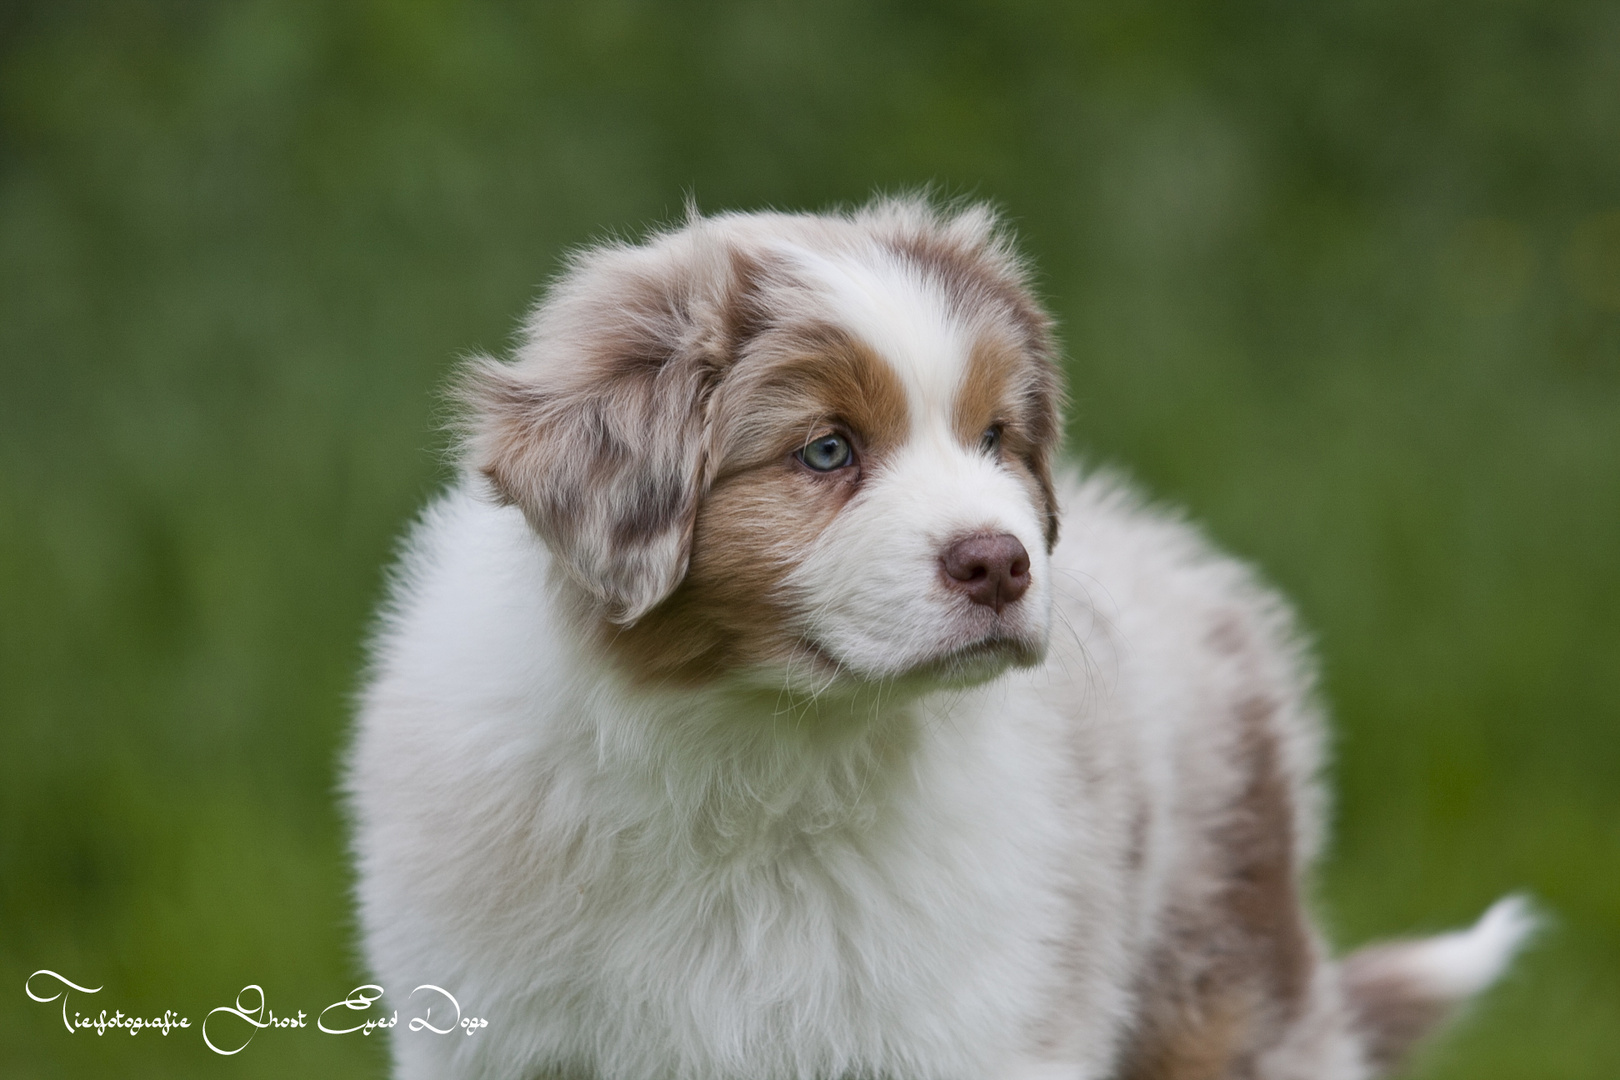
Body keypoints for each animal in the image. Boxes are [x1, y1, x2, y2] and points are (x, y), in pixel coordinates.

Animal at [351, 198, 1529, 1075]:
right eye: (827, 450)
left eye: (996, 437)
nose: (1003, 563)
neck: (758, 756)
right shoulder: (494, 1035)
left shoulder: (977, 1027)